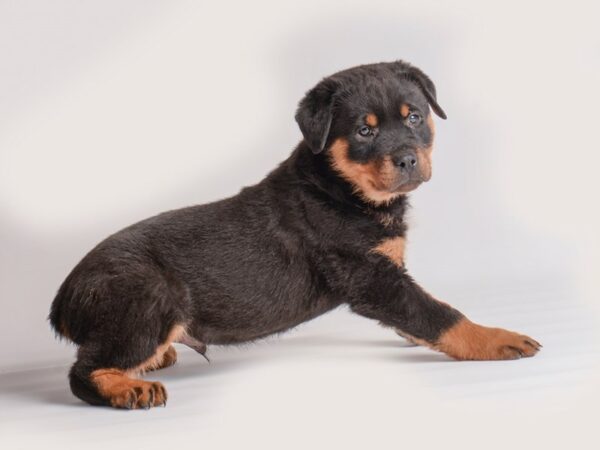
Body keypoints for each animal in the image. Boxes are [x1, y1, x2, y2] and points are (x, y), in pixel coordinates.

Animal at [49, 61, 540, 410]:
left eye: (414, 117)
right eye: (365, 130)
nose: (406, 159)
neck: (341, 187)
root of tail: (62, 301)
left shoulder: (388, 274)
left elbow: (419, 319)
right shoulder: (371, 278)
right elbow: (438, 313)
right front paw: (496, 338)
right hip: (149, 293)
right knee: (83, 370)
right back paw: (127, 389)